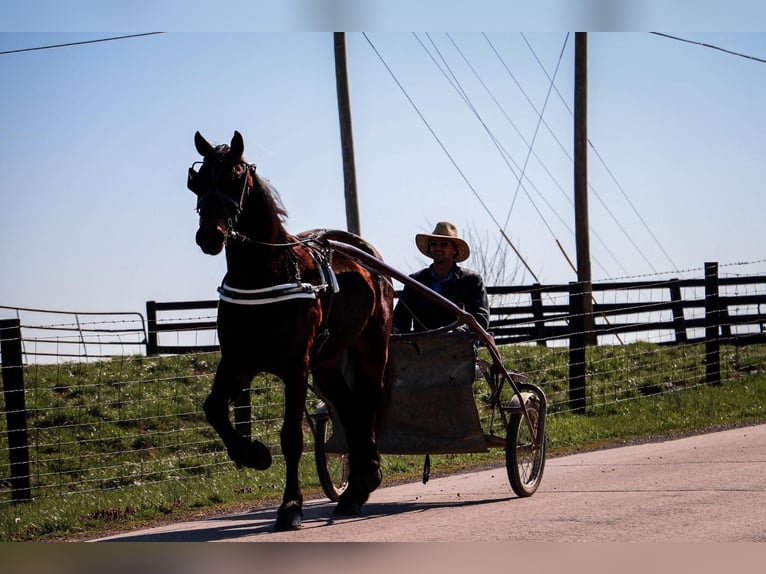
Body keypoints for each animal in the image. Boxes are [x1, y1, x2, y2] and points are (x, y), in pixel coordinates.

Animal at [186, 130, 396, 532]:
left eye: (235, 177)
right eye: (198, 180)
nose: (209, 236)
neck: (265, 275)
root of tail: (365, 253)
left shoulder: (295, 366)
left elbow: (292, 437)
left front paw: (290, 506)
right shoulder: (238, 361)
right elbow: (214, 408)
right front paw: (252, 453)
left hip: (372, 343)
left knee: (369, 400)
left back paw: (366, 476)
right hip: (327, 361)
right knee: (350, 407)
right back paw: (355, 488)